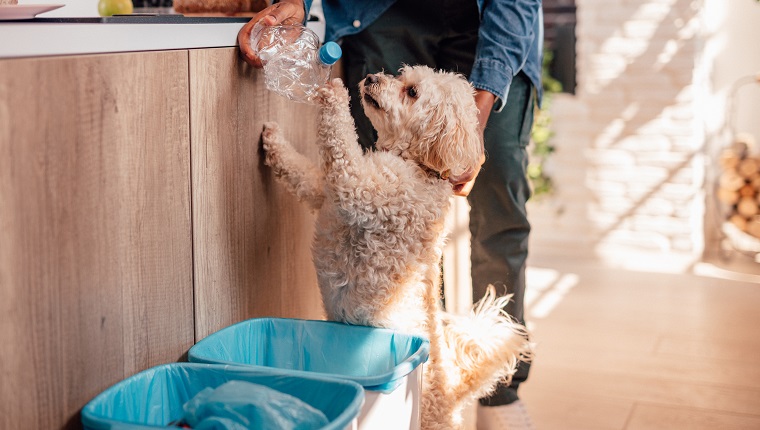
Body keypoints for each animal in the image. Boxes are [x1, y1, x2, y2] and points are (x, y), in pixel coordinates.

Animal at [262, 66, 536, 430]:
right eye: (401, 74)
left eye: (412, 92)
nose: (371, 78)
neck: (419, 167)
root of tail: (450, 394)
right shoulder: (327, 195)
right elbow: (303, 173)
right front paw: (273, 142)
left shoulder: (357, 189)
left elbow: (340, 143)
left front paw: (333, 93)